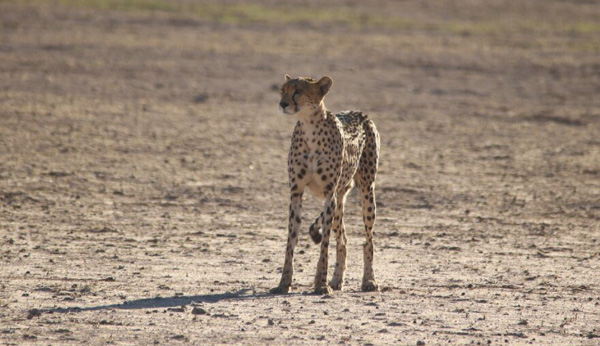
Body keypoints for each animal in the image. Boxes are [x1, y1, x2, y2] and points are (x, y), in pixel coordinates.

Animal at [270, 73, 380, 294]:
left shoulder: (329, 194)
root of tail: (360, 113)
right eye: (283, 90)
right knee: (343, 240)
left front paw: (320, 283)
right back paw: (337, 280)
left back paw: (369, 280)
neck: (310, 127)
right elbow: (291, 241)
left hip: (366, 190)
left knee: (368, 240)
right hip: (339, 200)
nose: (283, 104)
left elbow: (325, 244)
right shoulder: (296, 192)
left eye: (298, 91)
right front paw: (284, 282)